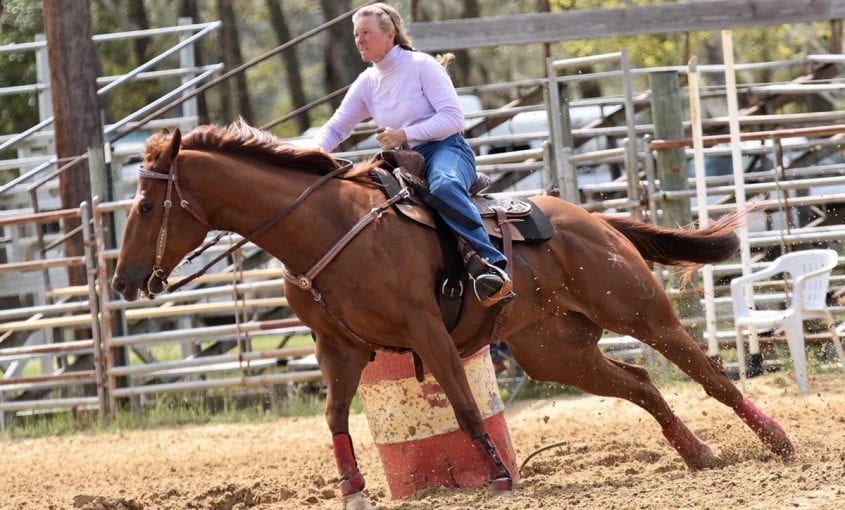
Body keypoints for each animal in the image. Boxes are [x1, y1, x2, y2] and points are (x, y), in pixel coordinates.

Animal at [112, 122, 792, 506]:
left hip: (641, 312)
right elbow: (334, 417)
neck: (325, 228)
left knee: (712, 375)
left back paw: (778, 444)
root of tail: (592, 218)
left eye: (145, 206)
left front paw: (499, 477)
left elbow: (465, 409)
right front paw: (352, 489)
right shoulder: (340, 347)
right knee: (643, 383)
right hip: (555, 352)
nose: (122, 281)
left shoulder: (426, 330)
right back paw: (699, 455)